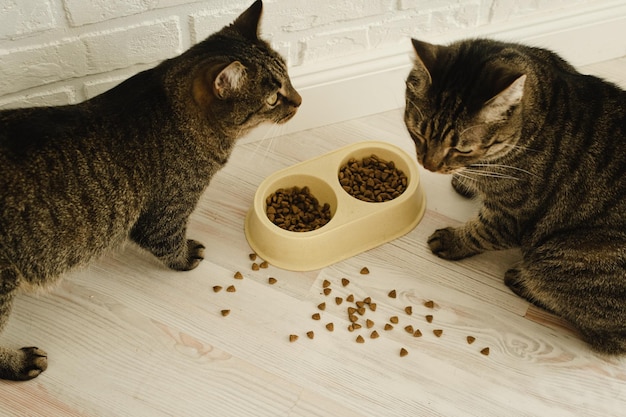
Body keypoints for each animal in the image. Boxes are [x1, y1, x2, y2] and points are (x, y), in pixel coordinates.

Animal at [0, 0, 302, 378]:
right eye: (274, 98)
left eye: (288, 77)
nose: (300, 100)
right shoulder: (165, 213)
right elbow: (168, 243)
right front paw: (187, 257)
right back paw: (20, 363)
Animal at [402, 37, 624, 352]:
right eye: (418, 133)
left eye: (461, 148)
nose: (428, 165)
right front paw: (465, 181)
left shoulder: (510, 216)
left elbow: (480, 232)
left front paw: (453, 240)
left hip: (558, 257)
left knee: (606, 336)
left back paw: (522, 281)